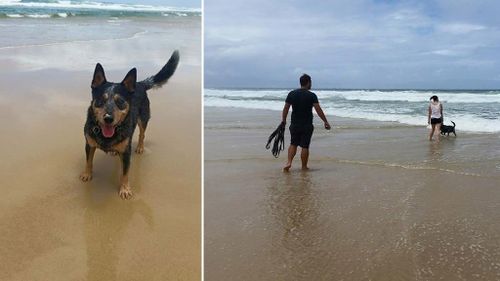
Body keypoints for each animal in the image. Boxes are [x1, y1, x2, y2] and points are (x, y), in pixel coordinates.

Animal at [78, 50, 180, 199]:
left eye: (120, 101)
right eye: (100, 100)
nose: (108, 118)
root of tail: (139, 84)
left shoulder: (126, 153)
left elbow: (125, 173)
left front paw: (125, 189)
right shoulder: (89, 144)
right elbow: (89, 161)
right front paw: (87, 174)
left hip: (143, 119)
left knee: (142, 134)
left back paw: (140, 147)